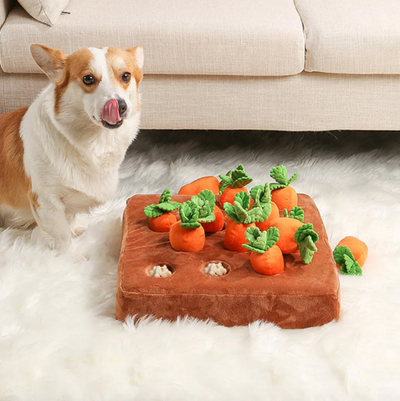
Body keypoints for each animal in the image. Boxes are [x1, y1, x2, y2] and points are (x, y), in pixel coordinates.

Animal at [0, 44, 144, 253]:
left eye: (126, 76)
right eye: (88, 79)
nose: (120, 106)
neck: (95, 142)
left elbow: (71, 218)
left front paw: (76, 230)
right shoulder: (46, 201)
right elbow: (61, 236)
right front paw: (68, 256)